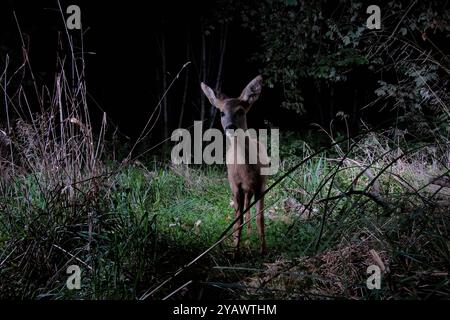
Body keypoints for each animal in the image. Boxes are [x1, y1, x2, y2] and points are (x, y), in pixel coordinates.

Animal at [200, 75, 268, 255]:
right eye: (222, 112)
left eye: (241, 111)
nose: (230, 126)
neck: (246, 171)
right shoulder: (235, 186)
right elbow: (238, 220)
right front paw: (236, 251)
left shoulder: (261, 185)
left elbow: (260, 218)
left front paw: (263, 250)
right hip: (235, 188)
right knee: (241, 213)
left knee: (249, 212)